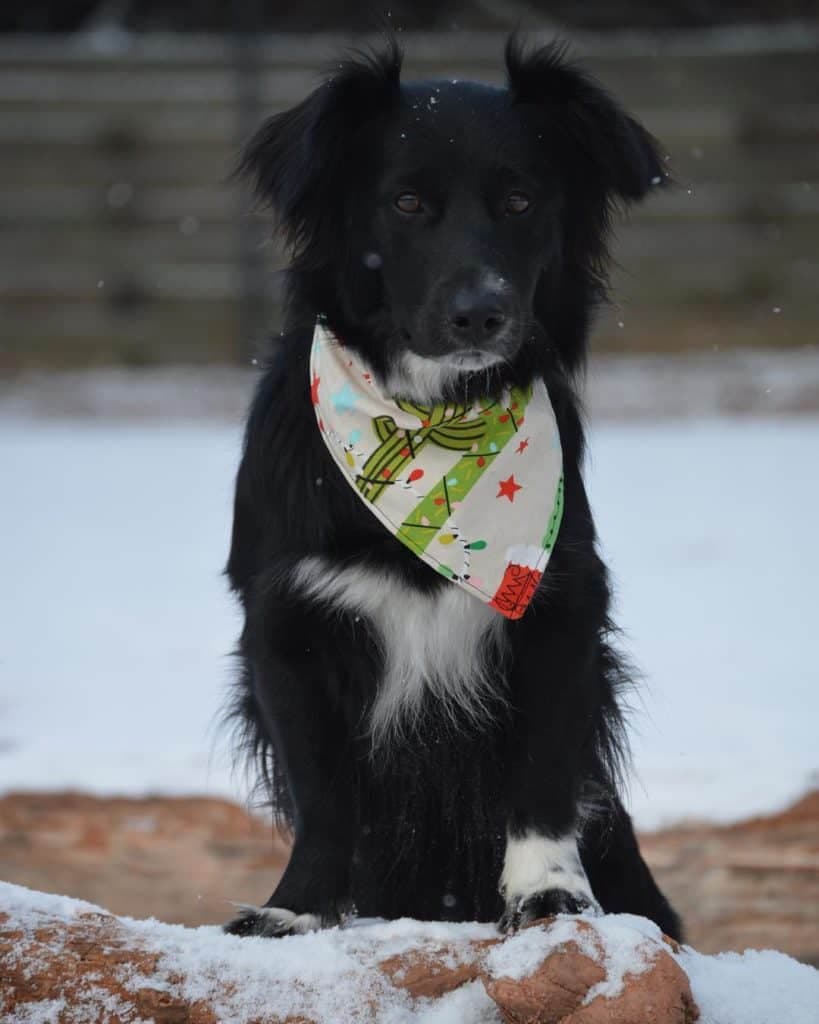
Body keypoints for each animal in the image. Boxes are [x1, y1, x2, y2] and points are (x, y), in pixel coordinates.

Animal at [221, 34, 679, 942]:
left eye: (519, 201)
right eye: (404, 203)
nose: (479, 314)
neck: (429, 432)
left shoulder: (560, 606)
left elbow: (541, 780)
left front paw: (550, 897)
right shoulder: (286, 622)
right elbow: (324, 795)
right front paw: (296, 909)